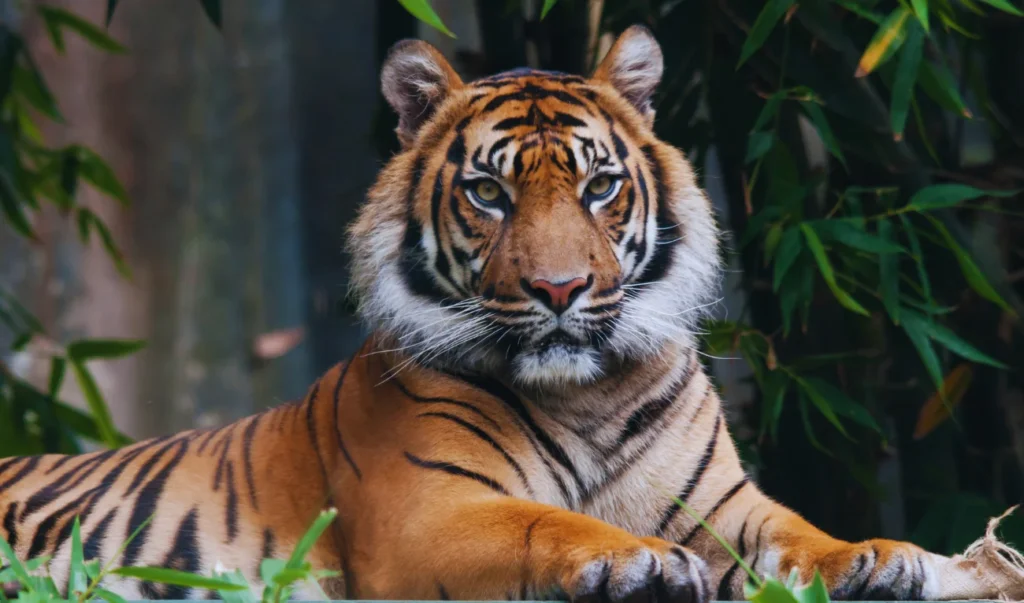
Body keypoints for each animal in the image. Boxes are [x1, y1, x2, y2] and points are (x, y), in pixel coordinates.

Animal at [0, 24, 999, 601]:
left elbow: (801, 532)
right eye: (488, 192)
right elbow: (546, 522)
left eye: (599, 187)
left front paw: (880, 557)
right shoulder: (428, 512)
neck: (589, 392)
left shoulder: (723, 502)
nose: (559, 290)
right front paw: (636, 563)